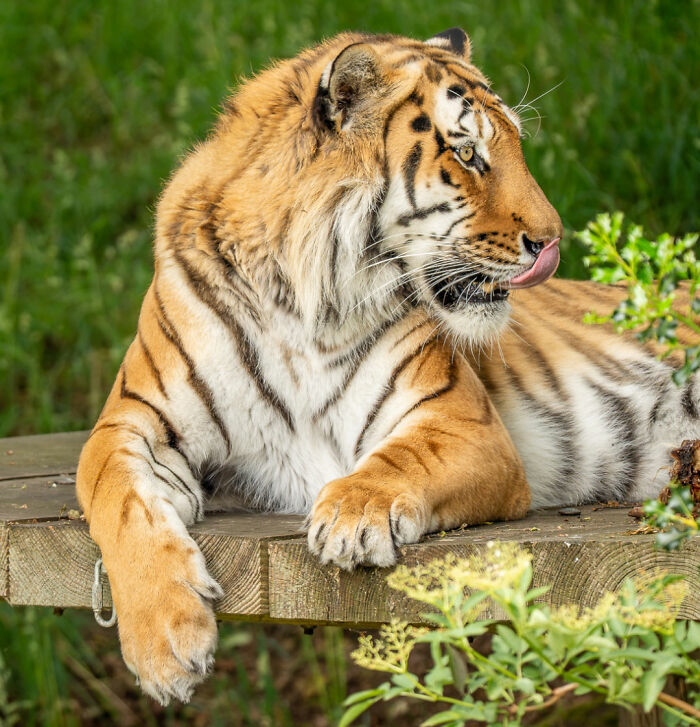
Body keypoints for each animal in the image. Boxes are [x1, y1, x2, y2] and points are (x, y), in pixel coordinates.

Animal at [76, 28, 700, 703]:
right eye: (468, 154)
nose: (553, 243)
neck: (299, 303)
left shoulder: (461, 422)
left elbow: (399, 459)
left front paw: (352, 515)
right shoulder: (132, 421)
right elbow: (117, 497)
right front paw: (165, 644)